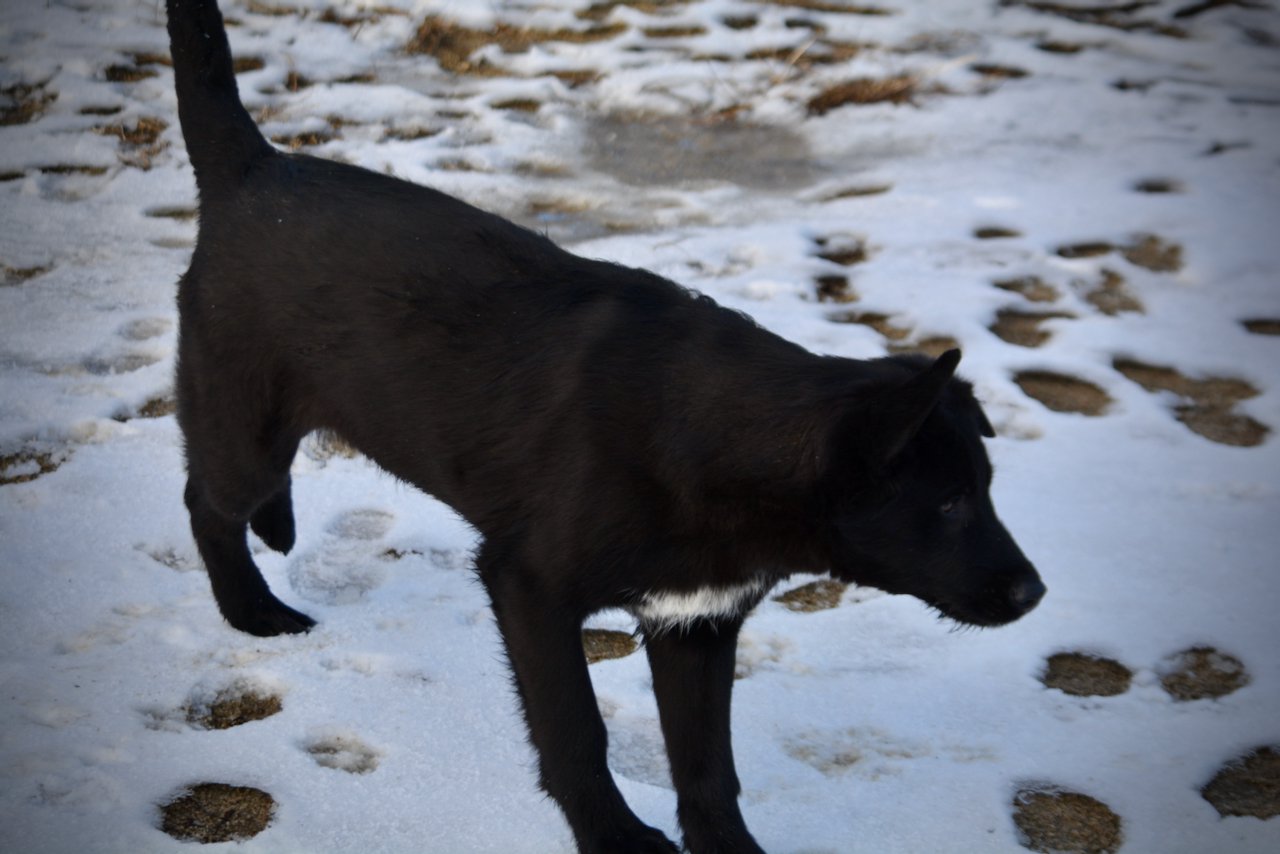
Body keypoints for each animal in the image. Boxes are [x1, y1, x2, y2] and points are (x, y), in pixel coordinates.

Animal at [165, 3, 1044, 850]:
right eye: (949, 503)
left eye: (986, 490)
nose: (1033, 593)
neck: (719, 441)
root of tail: (255, 169)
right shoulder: (528, 586)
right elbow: (576, 731)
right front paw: (614, 837)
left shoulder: (696, 621)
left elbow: (706, 761)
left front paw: (725, 846)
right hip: (244, 420)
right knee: (207, 502)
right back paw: (252, 608)